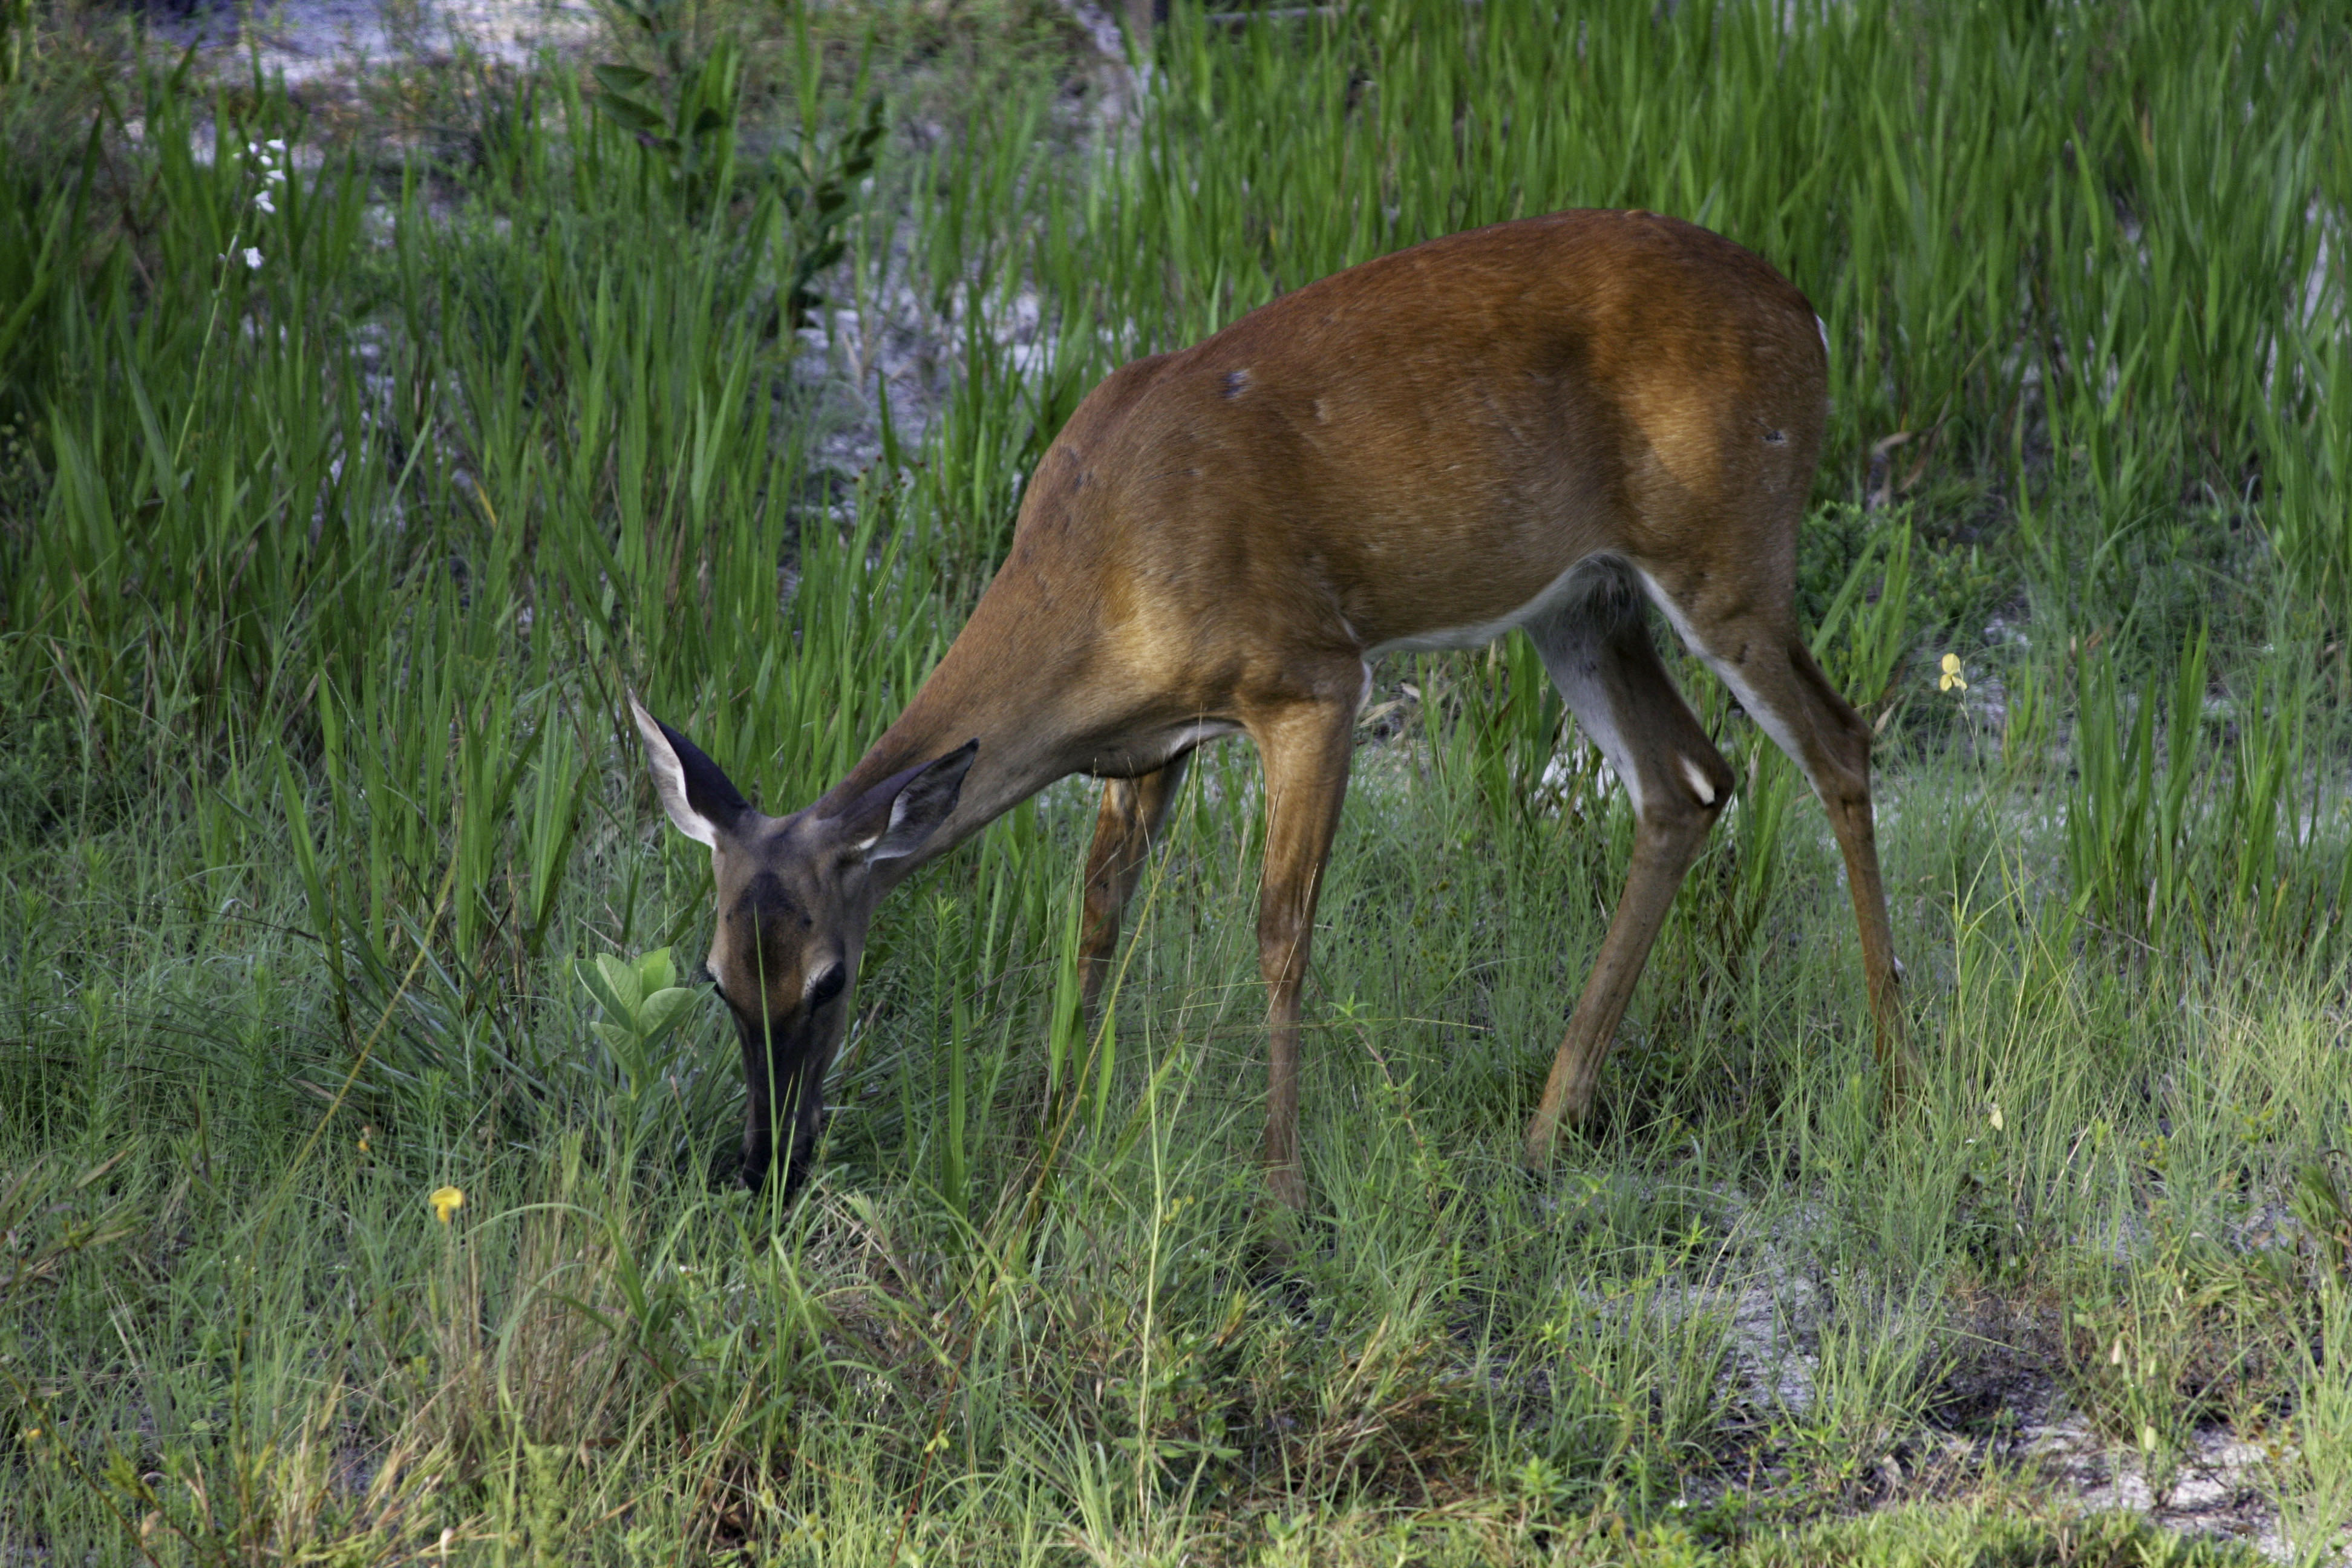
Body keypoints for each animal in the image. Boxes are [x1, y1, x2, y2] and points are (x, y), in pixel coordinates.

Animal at [629, 208, 1911, 1211]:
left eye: (831, 979)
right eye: (717, 975)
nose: (766, 1167)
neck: (1104, 561)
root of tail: (1806, 312)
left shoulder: (1311, 679)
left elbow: (1279, 933)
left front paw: (1281, 1201)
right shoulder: (1144, 747)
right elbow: (1094, 927)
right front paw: (1035, 1175)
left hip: (1726, 554)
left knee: (1837, 744)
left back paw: (1893, 1084)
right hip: (1584, 604)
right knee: (1685, 781)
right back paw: (1546, 1133)